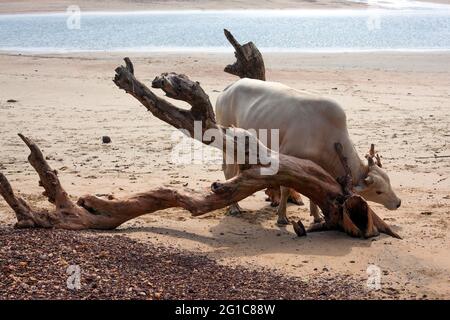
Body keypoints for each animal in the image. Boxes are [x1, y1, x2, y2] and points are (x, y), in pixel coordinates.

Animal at [214, 78, 400, 225]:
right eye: (378, 191)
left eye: (389, 182)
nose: (398, 202)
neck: (326, 132)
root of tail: (228, 88)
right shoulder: (287, 158)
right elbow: (286, 188)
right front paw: (282, 217)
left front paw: (317, 216)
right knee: (229, 171)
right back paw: (234, 207)